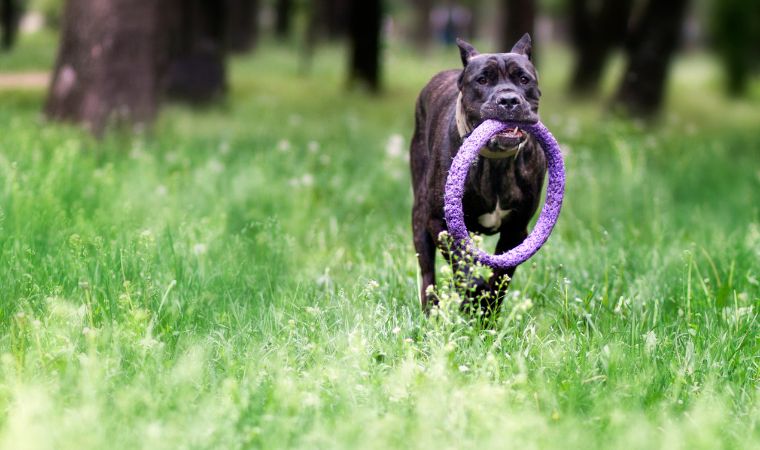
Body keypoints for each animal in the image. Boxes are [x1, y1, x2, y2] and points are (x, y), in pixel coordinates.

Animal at [410, 34, 548, 312]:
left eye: (523, 79)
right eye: (482, 80)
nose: (509, 100)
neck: (495, 163)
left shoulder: (516, 230)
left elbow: (501, 275)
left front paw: (487, 308)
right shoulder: (439, 223)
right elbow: (463, 265)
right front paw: (474, 295)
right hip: (420, 218)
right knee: (428, 274)